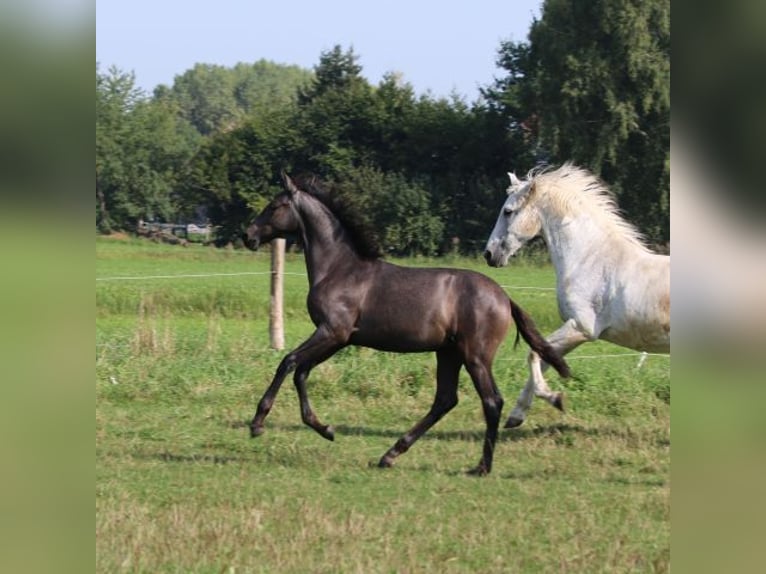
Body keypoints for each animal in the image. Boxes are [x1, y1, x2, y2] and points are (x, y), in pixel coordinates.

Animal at [246, 172, 568, 476]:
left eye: (274, 206)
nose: (248, 235)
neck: (339, 269)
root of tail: (505, 298)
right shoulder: (338, 339)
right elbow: (301, 372)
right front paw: (325, 429)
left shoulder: (332, 332)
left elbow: (288, 362)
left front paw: (258, 423)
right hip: (448, 353)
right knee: (445, 400)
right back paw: (390, 454)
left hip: (475, 356)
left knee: (491, 401)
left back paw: (481, 467)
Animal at [486, 164, 672, 430]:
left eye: (507, 211)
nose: (489, 254)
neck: (591, 259)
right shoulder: (574, 332)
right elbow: (544, 358)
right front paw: (516, 416)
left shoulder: (580, 328)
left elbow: (533, 354)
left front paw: (555, 398)